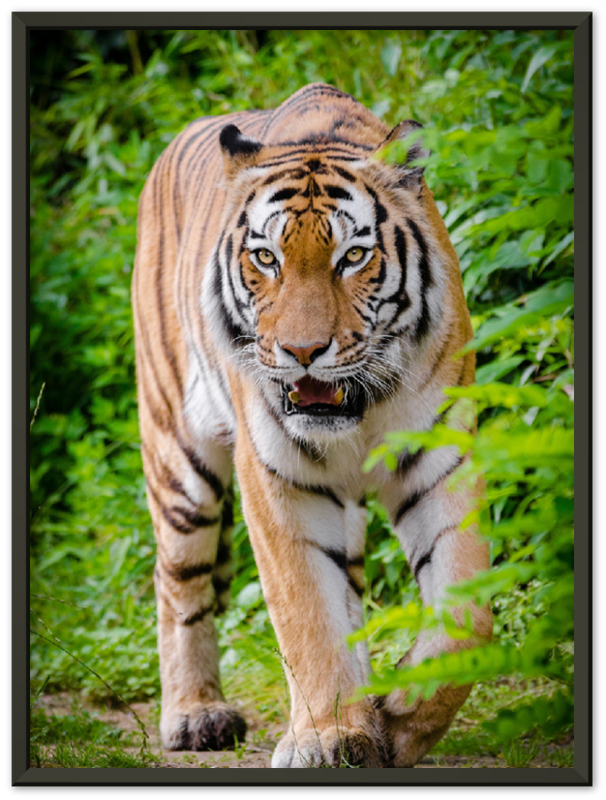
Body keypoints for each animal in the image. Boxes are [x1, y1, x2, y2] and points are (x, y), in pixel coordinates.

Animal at [132, 83, 492, 768]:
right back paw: (195, 715)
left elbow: (466, 617)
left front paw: (396, 721)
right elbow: (305, 612)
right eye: (265, 258)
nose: (302, 352)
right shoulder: (279, 477)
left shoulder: (440, 459)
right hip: (179, 459)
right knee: (178, 582)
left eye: (353, 256)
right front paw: (328, 736)